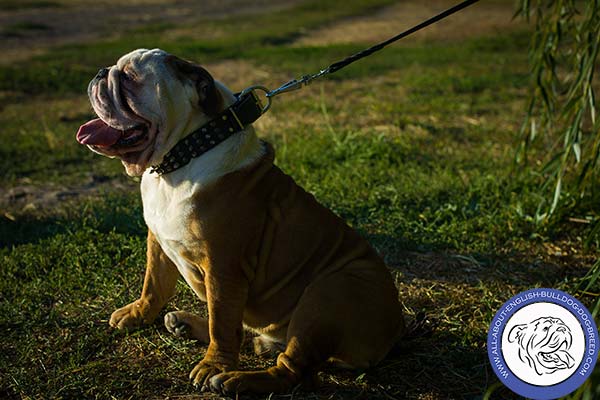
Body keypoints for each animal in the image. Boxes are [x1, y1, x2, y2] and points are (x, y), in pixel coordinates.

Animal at [74, 49, 404, 394]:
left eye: (129, 78)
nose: (101, 73)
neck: (187, 152)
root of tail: (395, 328)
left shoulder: (223, 267)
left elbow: (222, 322)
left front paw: (213, 365)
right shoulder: (158, 242)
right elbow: (154, 284)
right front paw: (138, 314)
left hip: (328, 293)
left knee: (291, 370)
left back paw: (235, 379)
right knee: (249, 336)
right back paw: (188, 324)